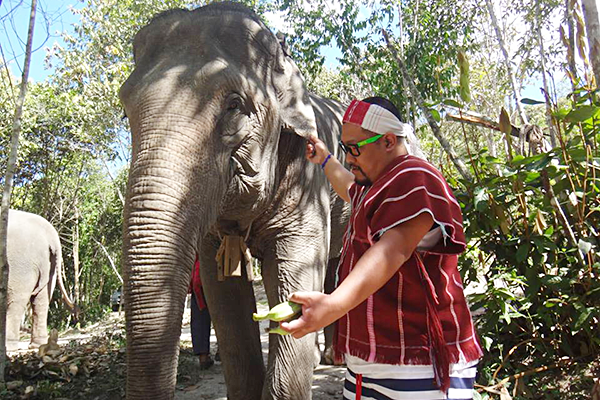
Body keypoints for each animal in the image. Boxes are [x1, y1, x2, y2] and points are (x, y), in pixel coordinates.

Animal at [5, 209, 77, 350]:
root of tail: (51, 236)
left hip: (21, 264)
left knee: (16, 301)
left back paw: (8, 347)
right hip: (49, 266)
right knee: (41, 301)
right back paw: (37, 345)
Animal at [119, 3, 350, 400]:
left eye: (234, 105)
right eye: (125, 108)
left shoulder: (308, 178)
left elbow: (295, 273)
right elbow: (222, 293)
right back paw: (328, 357)